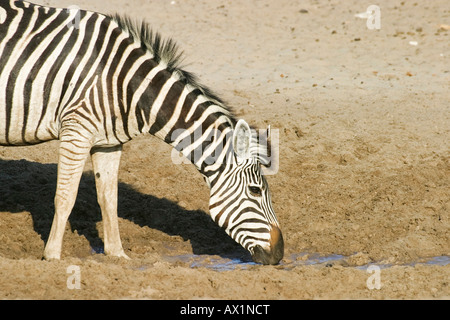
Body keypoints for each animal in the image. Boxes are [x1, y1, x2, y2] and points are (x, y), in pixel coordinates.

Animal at [0, 0, 284, 264]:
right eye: (255, 191)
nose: (280, 253)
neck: (125, 83)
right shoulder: (76, 130)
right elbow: (66, 197)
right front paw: (52, 258)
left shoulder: (107, 142)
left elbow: (109, 200)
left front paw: (117, 255)